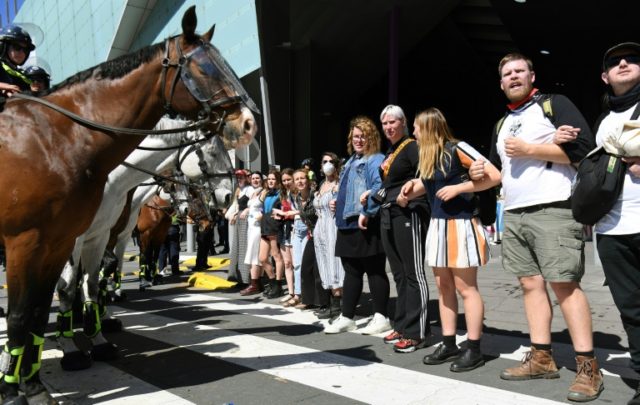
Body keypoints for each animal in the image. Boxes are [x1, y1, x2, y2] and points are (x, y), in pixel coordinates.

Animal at [54, 110, 255, 370]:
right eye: (211, 151)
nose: (229, 195)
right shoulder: (80, 238)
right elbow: (73, 284)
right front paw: (71, 347)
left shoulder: (111, 235)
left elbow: (105, 272)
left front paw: (101, 322)